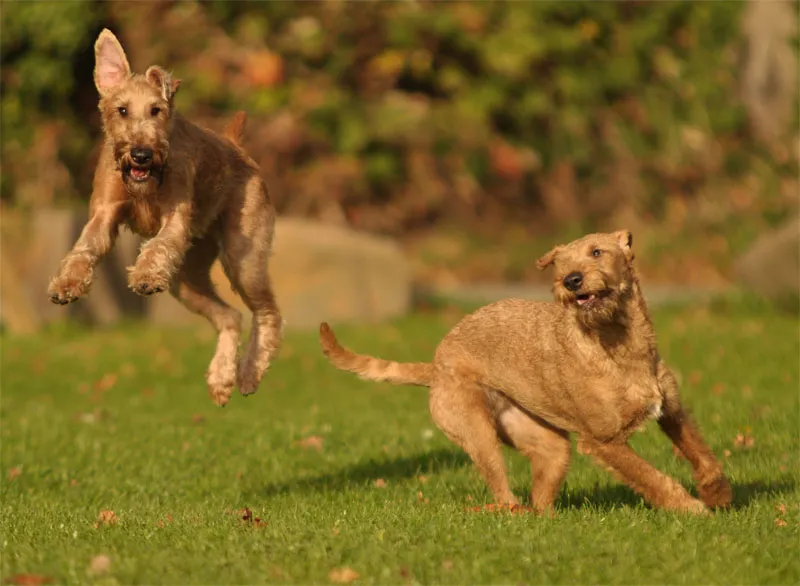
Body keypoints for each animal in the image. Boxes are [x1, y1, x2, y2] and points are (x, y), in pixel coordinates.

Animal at [322, 230, 736, 512]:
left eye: (597, 251)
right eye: (559, 263)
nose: (570, 280)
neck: (619, 344)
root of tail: (436, 365)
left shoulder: (672, 412)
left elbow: (702, 455)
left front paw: (718, 495)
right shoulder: (603, 439)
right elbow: (650, 476)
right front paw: (691, 508)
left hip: (548, 444)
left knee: (540, 499)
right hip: (478, 434)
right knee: (506, 496)